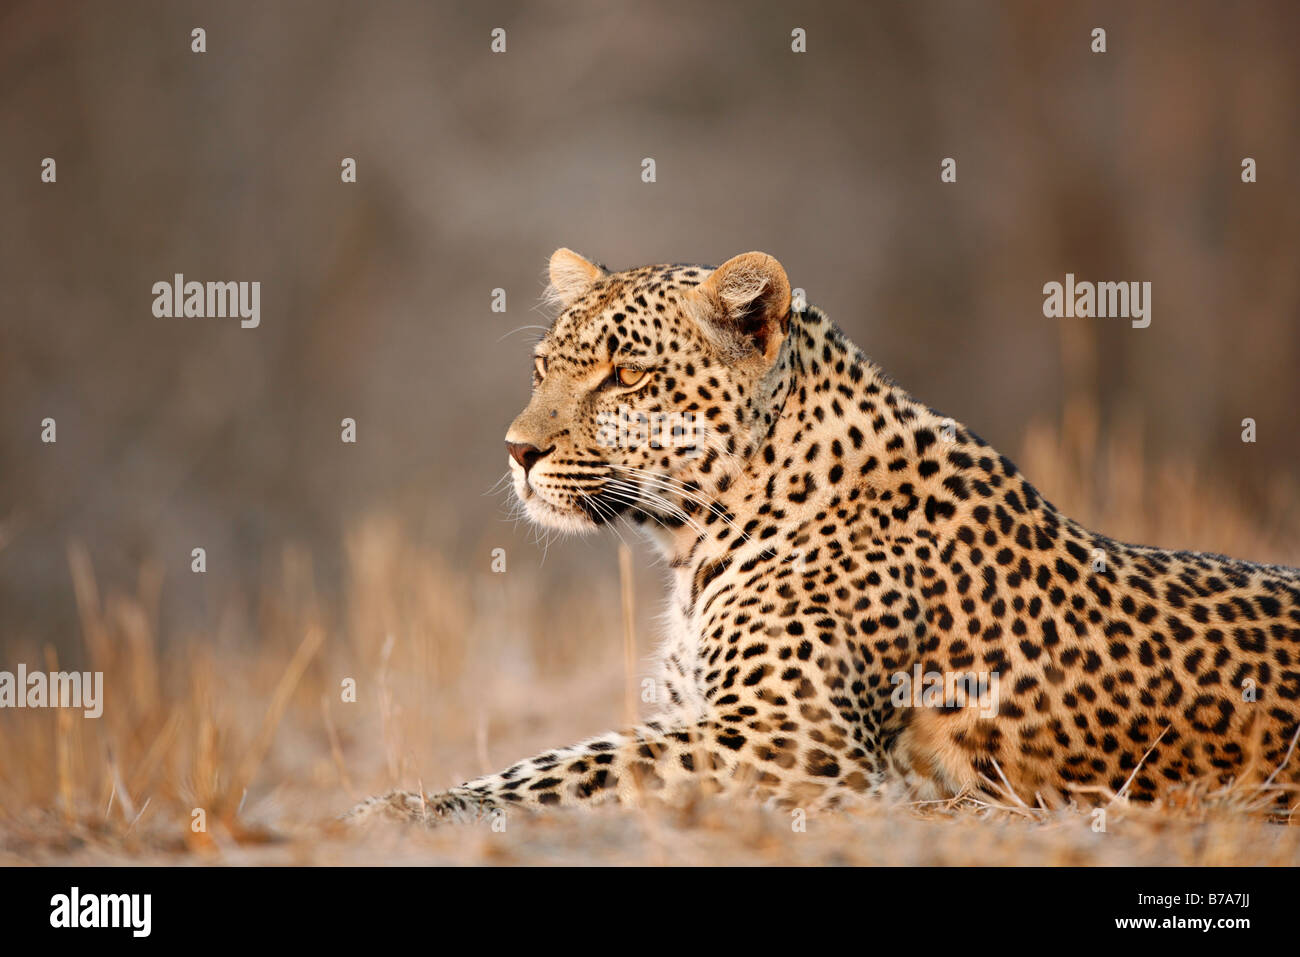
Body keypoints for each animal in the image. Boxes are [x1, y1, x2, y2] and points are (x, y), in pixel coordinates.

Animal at [347, 247, 1300, 826]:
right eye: (544, 367)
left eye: (625, 376)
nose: (517, 450)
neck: (692, 546)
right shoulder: (714, 713)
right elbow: (564, 754)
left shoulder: (792, 735)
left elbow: (580, 762)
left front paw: (402, 809)